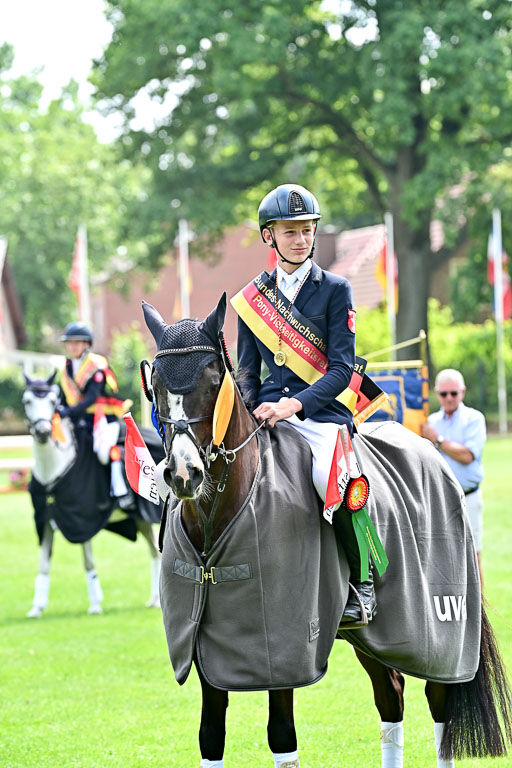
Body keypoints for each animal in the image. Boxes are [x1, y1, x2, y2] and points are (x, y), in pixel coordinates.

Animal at [22, 372, 164, 617]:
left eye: (52, 401)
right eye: (27, 401)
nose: (42, 433)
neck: (53, 470)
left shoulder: (81, 521)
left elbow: (88, 561)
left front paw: (96, 605)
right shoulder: (46, 518)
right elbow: (43, 564)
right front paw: (36, 608)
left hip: (145, 516)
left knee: (157, 551)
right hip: (139, 519)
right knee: (154, 552)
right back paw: (154, 599)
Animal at [143, 293, 512, 768]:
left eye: (211, 381)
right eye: (156, 385)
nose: (183, 474)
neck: (224, 511)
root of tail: (430, 451)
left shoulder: (282, 650)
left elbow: (282, 736)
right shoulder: (203, 648)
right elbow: (210, 737)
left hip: (438, 630)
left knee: (440, 704)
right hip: (375, 635)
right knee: (391, 696)